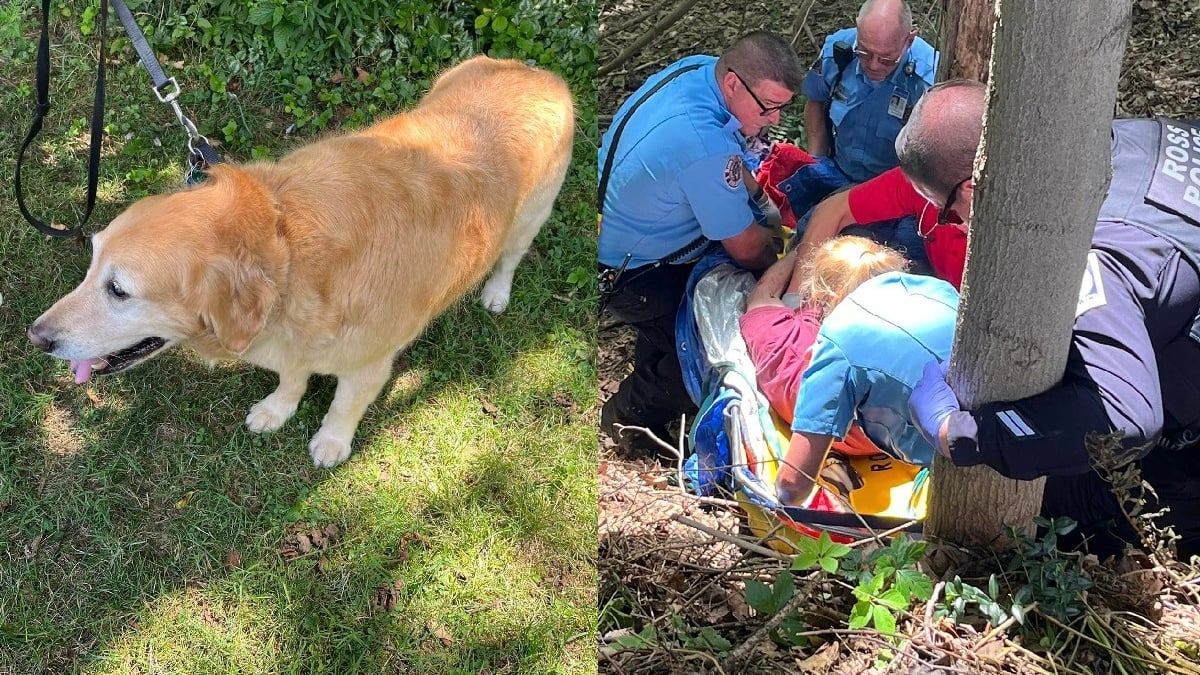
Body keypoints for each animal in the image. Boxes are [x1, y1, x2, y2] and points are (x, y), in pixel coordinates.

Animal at [27, 55, 571, 466]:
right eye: (92, 264)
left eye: (118, 290)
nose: (36, 337)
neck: (287, 251)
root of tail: (536, 72)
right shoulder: (292, 346)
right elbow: (291, 378)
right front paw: (277, 410)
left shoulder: (369, 364)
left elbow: (343, 406)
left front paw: (331, 443)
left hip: (530, 218)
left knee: (509, 258)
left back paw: (495, 293)